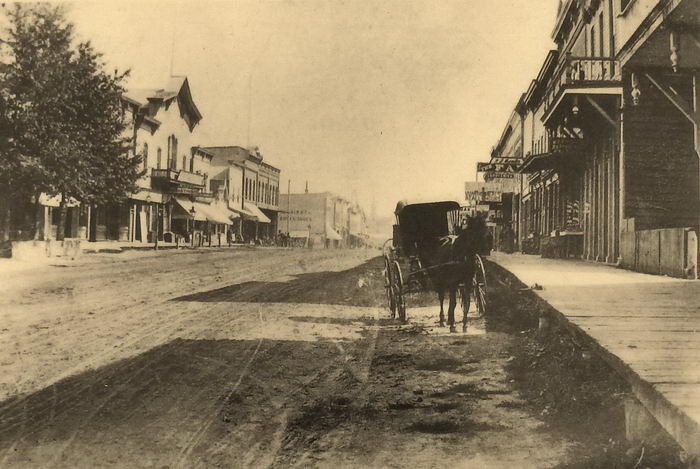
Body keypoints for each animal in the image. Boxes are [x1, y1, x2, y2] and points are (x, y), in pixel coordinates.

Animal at [382, 199, 486, 330]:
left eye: (484, 227)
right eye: (473, 230)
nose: (488, 245)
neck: (461, 253)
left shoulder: (467, 282)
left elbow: (466, 302)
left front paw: (464, 325)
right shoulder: (452, 281)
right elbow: (453, 302)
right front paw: (452, 324)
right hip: (436, 277)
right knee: (438, 296)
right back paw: (442, 319)